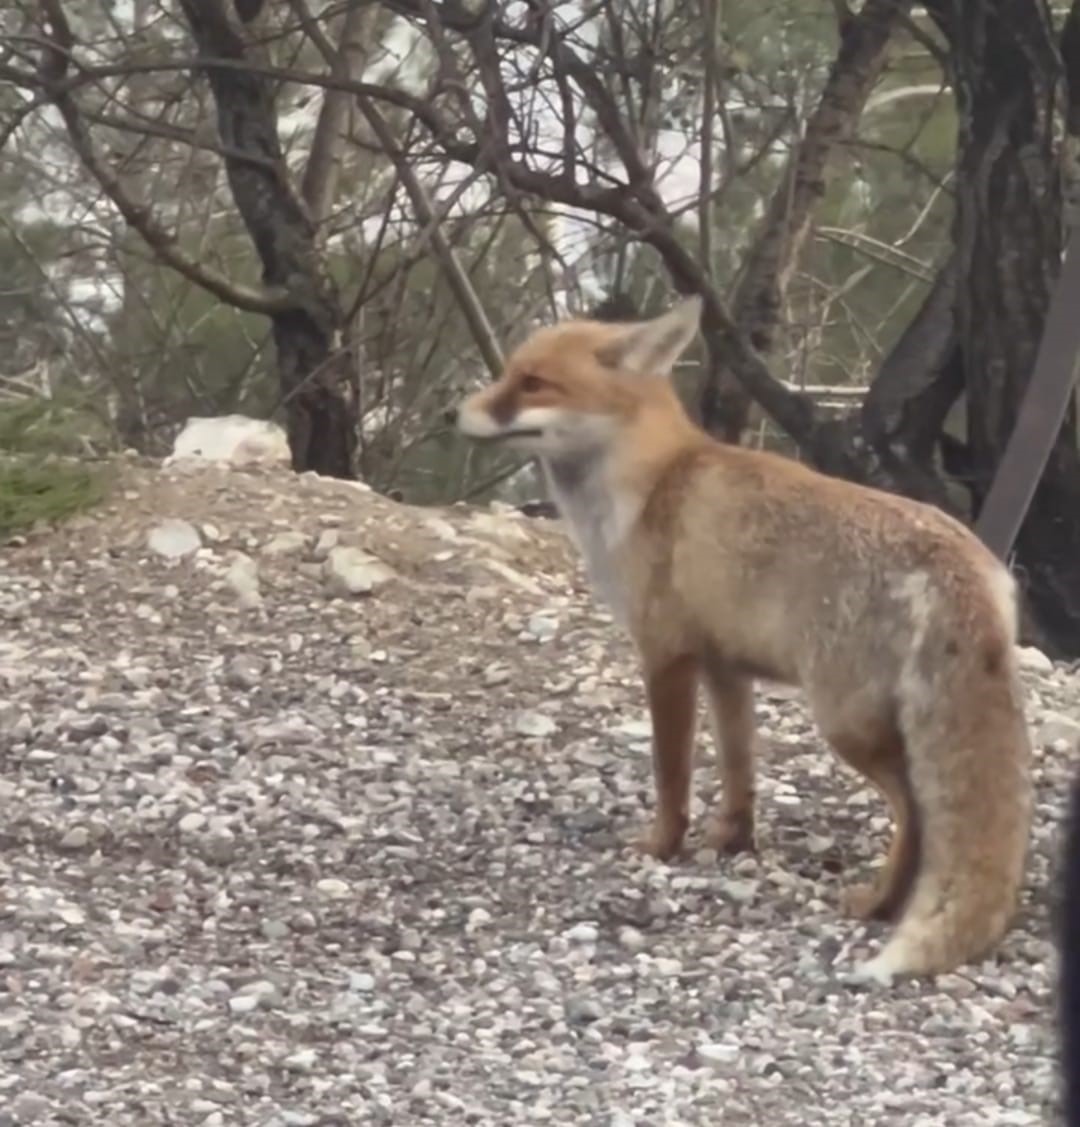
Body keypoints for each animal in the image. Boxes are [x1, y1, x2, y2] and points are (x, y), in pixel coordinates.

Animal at [453, 295, 1037, 982]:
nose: (454, 412)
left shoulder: (666, 656)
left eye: (533, 383)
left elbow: (672, 773)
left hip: (846, 724)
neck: (649, 488)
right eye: (509, 375)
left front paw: (662, 846)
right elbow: (738, 767)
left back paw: (878, 904)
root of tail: (966, 562)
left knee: (917, 811)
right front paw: (731, 840)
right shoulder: (726, 668)